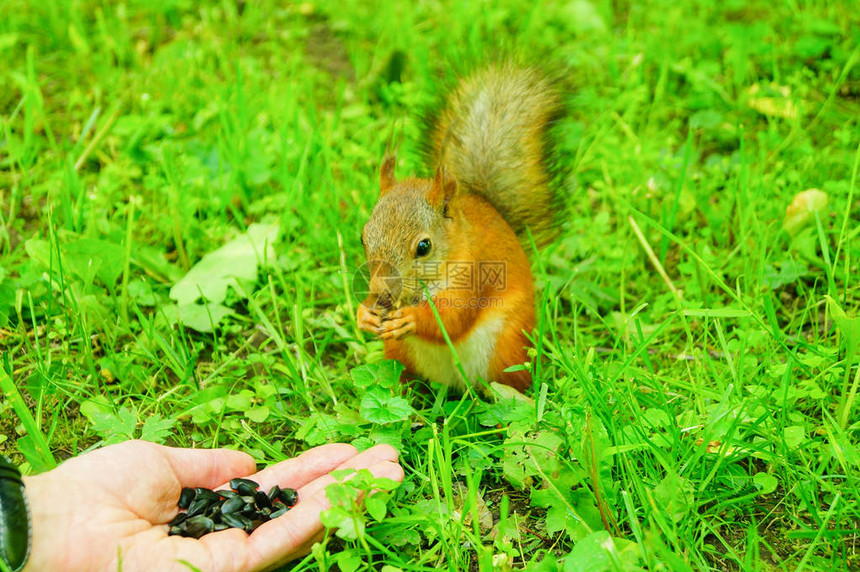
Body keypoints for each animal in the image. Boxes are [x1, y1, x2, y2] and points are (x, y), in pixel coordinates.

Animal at [356, 63, 564, 394]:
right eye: (363, 237)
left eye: (424, 247)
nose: (380, 291)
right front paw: (365, 313)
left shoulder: (476, 274)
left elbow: (453, 319)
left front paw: (412, 320)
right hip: (399, 353)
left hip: (508, 346)